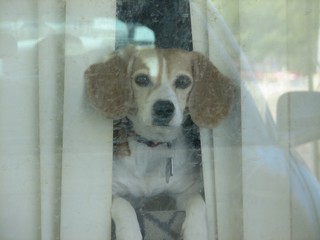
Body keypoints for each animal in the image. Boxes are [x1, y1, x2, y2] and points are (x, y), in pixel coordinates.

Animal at [85, 46, 235, 240]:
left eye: (183, 81)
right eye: (142, 79)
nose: (164, 108)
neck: (152, 146)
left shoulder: (185, 192)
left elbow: (198, 203)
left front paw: (196, 231)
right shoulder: (113, 191)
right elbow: (123, 205)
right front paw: (129, 233)